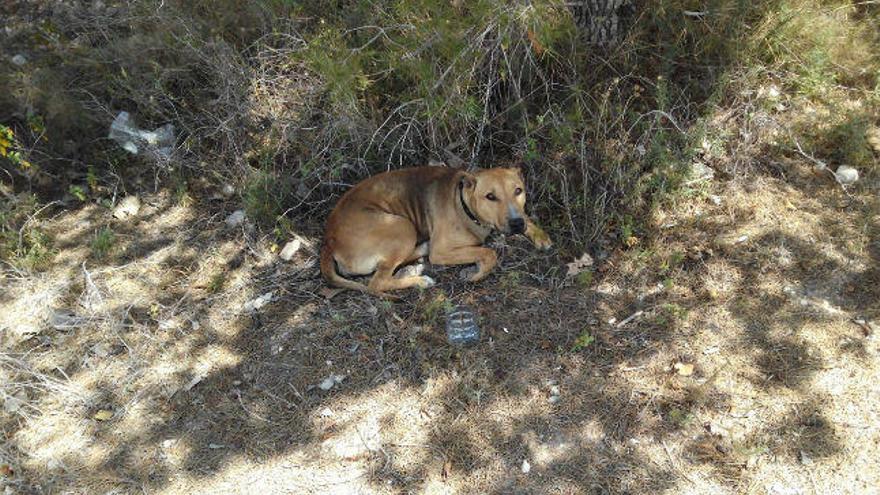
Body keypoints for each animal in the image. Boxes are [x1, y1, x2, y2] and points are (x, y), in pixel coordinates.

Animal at [324, 167, 552, 298]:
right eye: (490, 196)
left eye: (518, 191)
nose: (516, 224)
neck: (462, 204)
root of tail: (328, 241)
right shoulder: (442, 251)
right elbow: (489, 253)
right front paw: (475, 274)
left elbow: (526, 217)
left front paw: (540, 236)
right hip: (402, 226)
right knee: (376, 283)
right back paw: (420, 280)